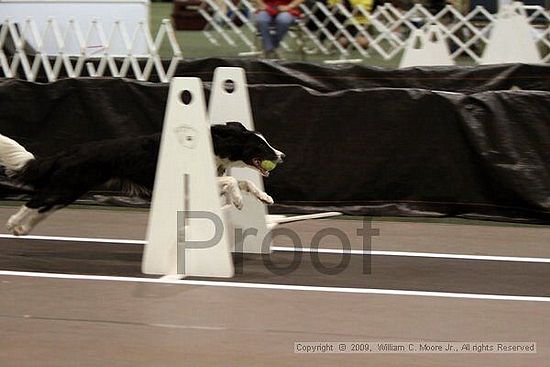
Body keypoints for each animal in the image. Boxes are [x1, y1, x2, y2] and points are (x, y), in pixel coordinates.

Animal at [0, 121, 284, 236]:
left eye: (267, 143)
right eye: (260, 146)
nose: (281, 155)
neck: (215, 144)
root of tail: (70, 151)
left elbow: (244, 182)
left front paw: (264, 196)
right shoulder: (191, 181)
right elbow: (234, 182)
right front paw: (237, 200)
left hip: (70, 189)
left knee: (43, 207)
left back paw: (22, 229)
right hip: (67, 186)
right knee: (35, 201)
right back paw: (13, 222)